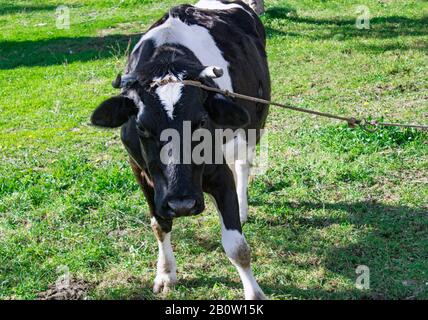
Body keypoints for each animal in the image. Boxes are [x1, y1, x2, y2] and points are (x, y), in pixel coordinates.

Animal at [91, 0, 270, 300]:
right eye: (142, 127)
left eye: (201, 122)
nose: (182, 204)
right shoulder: (139, 171)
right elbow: (160, 225)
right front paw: (165, 273)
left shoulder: (218, 173)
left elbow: (237, 246)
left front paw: (254, 293)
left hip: (254, 122)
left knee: (243, 164)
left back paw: (243, 206)